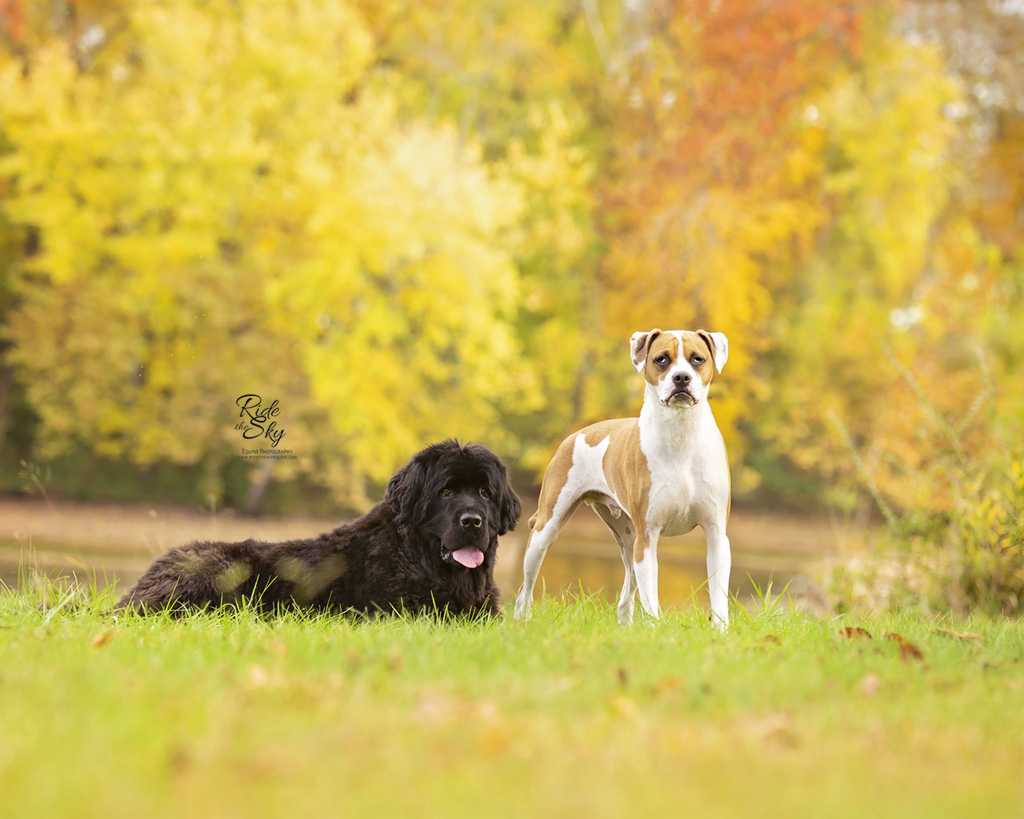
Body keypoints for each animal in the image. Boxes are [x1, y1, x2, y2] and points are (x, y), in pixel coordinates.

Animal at [516, 329, 733, 630]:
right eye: (661, 359)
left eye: (697, 359)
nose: (681, 378)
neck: (681, 435)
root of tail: (576, 434)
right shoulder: (648, 537)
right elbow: (651, 596)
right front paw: (656, 631)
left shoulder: (716, 533)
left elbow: (718, 596)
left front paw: (720, 632)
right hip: (546, 529)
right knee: (524, 588)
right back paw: (518, 622)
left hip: (628, 539)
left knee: (625, 594)